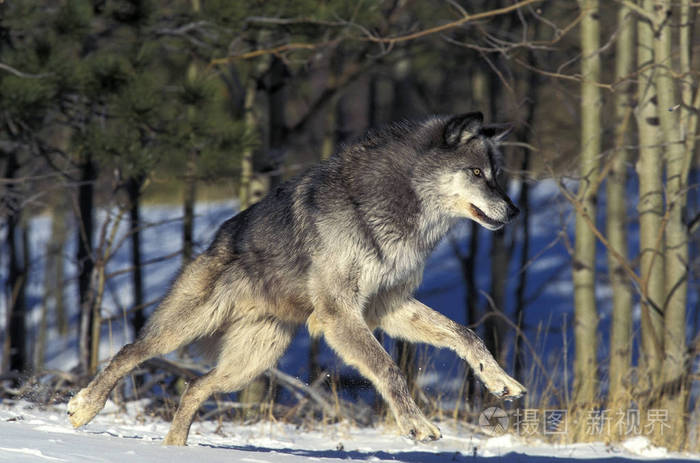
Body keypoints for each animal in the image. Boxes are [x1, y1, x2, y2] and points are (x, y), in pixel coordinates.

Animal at [68, 111, 524, 446]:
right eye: (477, 173)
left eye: (498, 173)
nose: (515, 211)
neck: (399, 209)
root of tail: (214, 243)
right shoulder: (341, 314)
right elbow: (389, 368)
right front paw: (417, 425)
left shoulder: (385, 306)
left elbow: (466, 334)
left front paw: (500, 381)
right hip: (185, 329)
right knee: (130, 351)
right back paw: (84, 408)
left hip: (251, 362)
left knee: (195, 386)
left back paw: (175, 449)